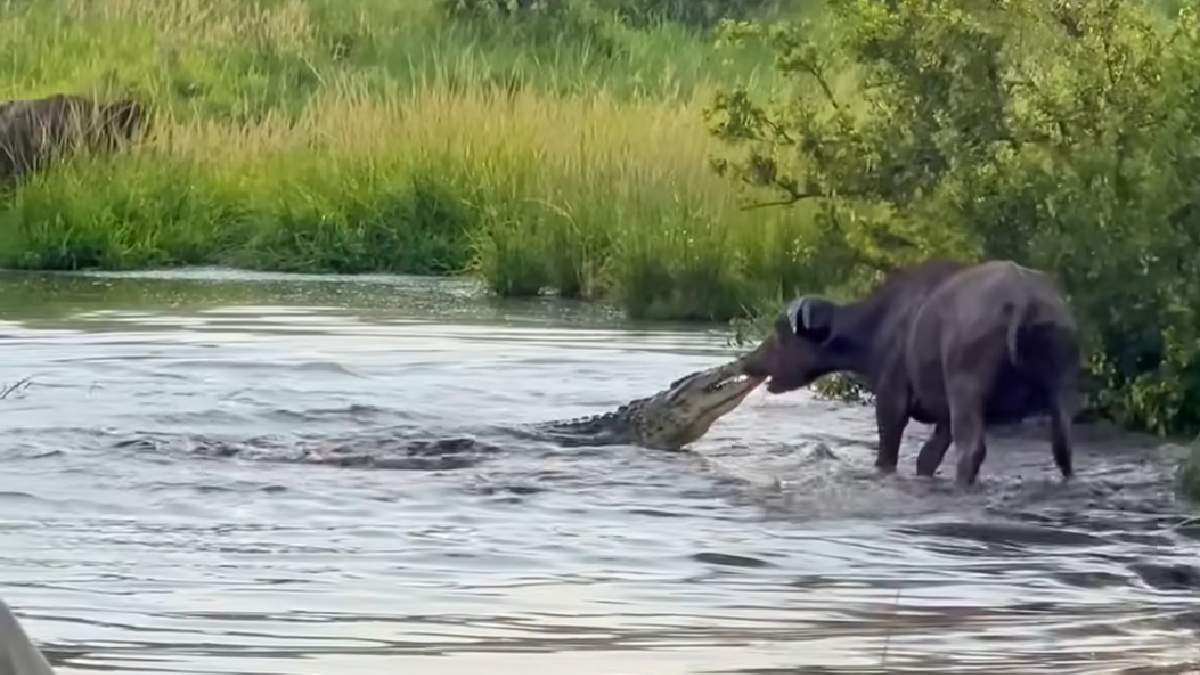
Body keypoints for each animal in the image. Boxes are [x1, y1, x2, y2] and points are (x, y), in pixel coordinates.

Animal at [734, 257, 1084, 482]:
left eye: (781, 333)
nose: (749, 361)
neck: (879, 326)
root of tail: (1024, 299)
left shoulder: (891, 400)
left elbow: (888, 455)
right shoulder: (942, 417)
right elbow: (926, 459)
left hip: (967, 387)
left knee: (971, 450)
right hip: (1062, 388)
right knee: (1063, 449)